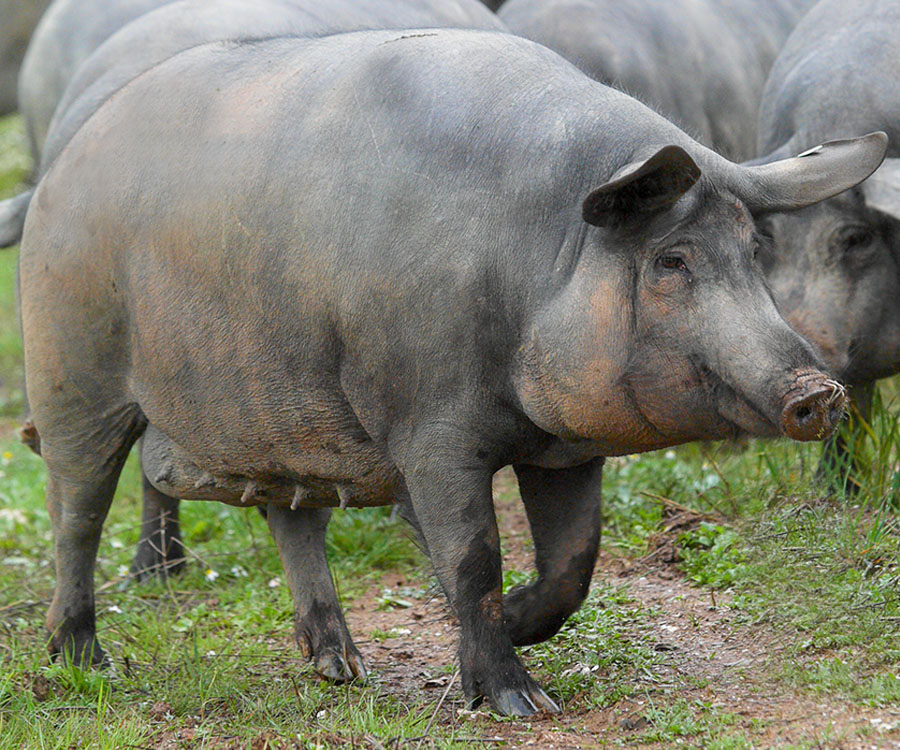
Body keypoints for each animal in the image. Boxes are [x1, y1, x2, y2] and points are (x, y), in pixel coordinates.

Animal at [17, 25, 884, 716]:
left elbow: (575, 561)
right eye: (671, 260)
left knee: (293, 520)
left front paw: (528, 628)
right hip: (72, 368)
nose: (819, 391)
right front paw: (523, 705)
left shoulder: (567, 447)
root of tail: (61, 166)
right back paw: (86, 665)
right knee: (76, 512)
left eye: (753, 249)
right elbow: (474, 557)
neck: (532, 261)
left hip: (283, 415)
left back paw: (343, 669)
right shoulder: (427, 427)